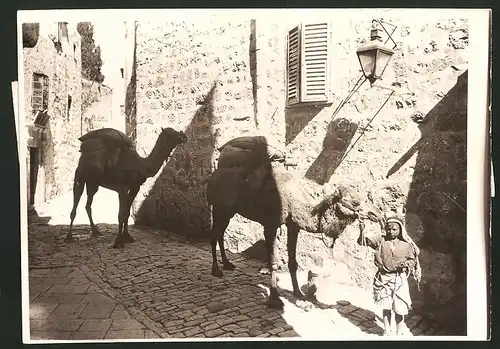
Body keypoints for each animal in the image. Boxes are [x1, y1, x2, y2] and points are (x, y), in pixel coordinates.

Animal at [207, 136, 378, 308]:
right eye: (353, 202)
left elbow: (293, 262)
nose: (374, 213)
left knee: (220, 233)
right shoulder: (270, 225)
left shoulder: (293, 226)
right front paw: (274, 299)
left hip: (230, 211)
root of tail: (216, 172)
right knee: (214, 235)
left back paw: (228, 264)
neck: (292, 201)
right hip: (220, 207)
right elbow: (273, 262)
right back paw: (216, 270)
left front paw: (299, 295)